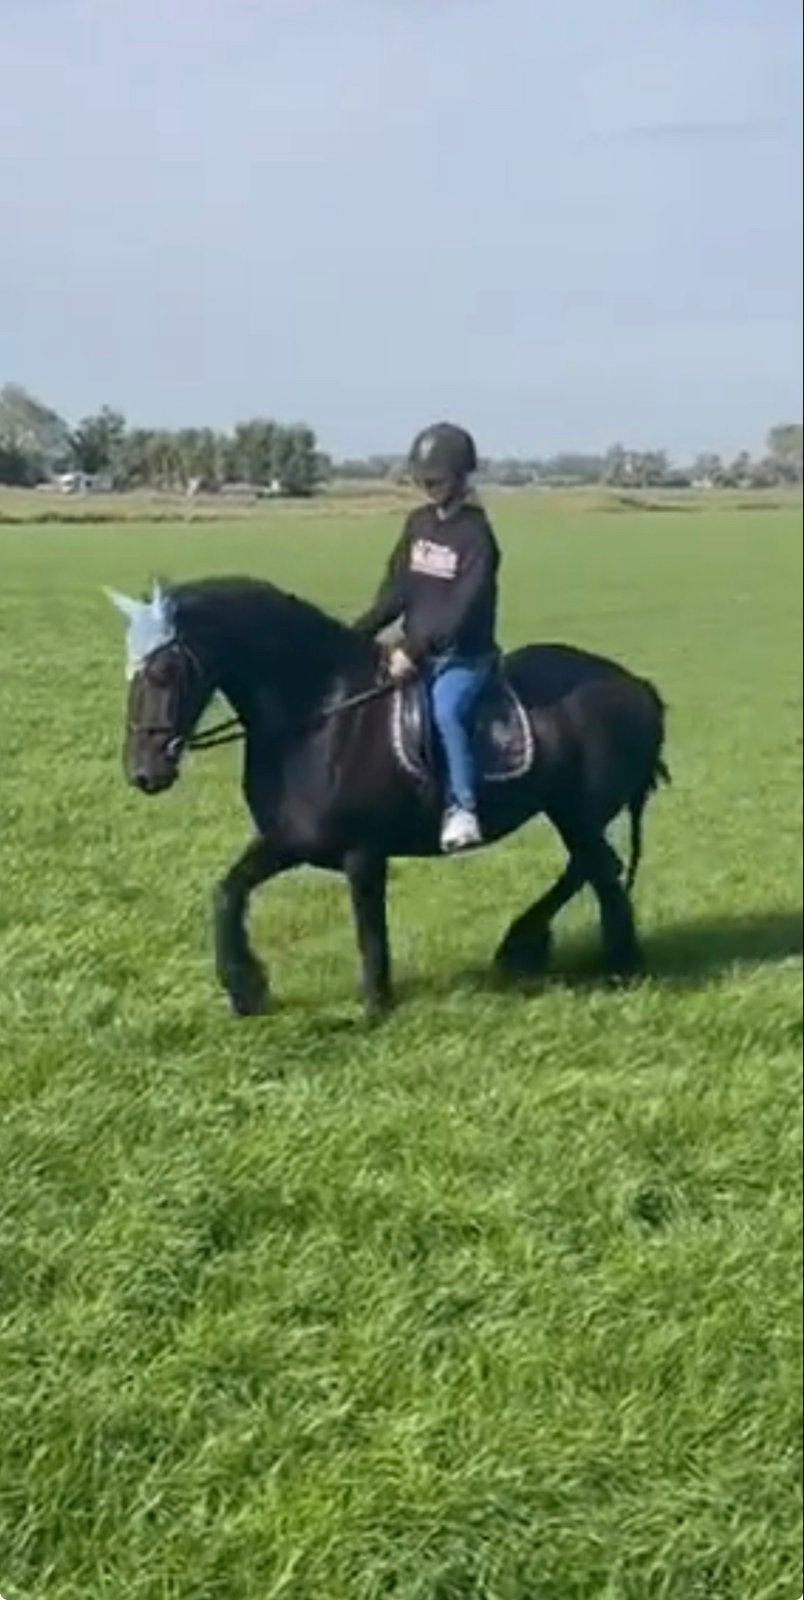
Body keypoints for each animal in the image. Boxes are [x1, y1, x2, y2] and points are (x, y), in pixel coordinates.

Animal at [106, 575, 670, 1019]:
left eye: (164, 672)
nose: (144, 772)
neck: (320, 714)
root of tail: (637, 685)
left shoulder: (362, 851)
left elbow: (369, 925)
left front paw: (375, 1005)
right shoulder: (289, 841)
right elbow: (228, 893)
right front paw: (247, 991)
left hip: (578, 813)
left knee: (599, 870)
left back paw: (613, 963)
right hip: (572, 813)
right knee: (591, 868)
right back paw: (534, 948)